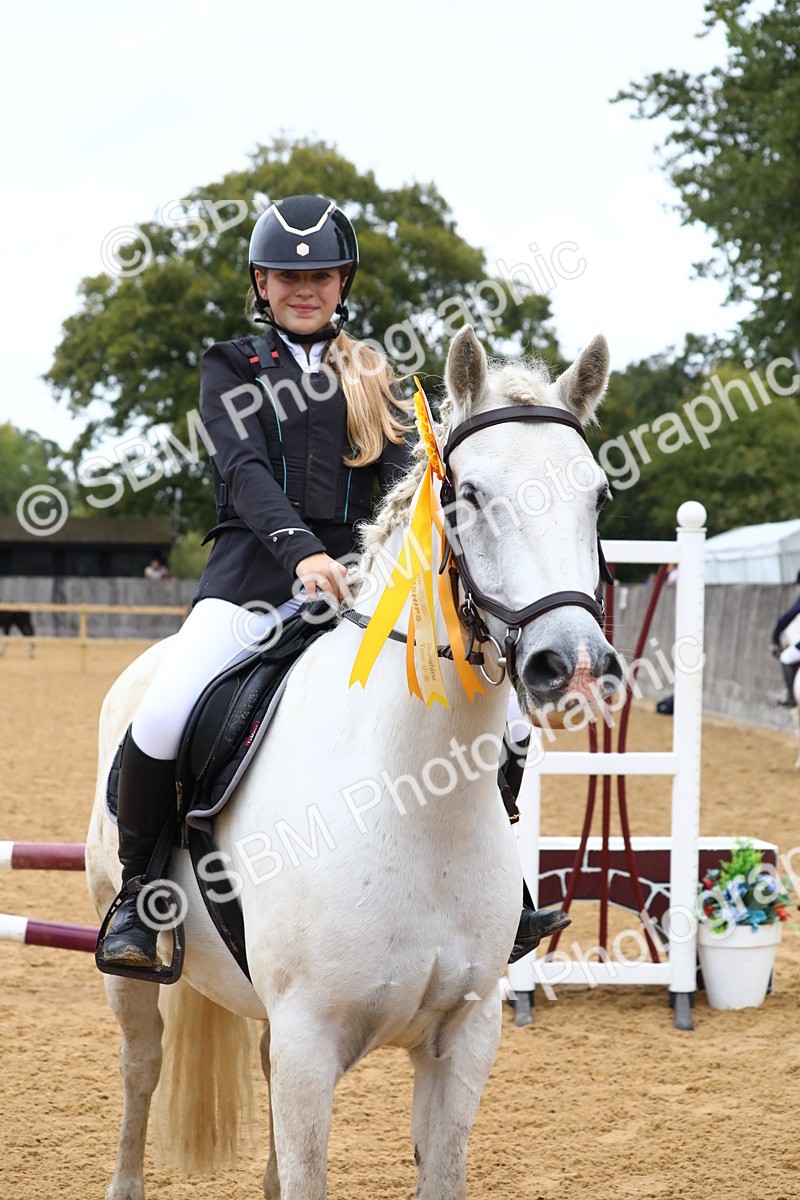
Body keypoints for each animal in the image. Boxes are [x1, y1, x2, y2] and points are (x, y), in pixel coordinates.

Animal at [85, 325, 623, 1200]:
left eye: (598, 496)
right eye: (468, 494)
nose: (571, 667)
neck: (415, 799)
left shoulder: (463, 1039)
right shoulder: (311, 1045)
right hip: (129, 970)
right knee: (141, 1068)